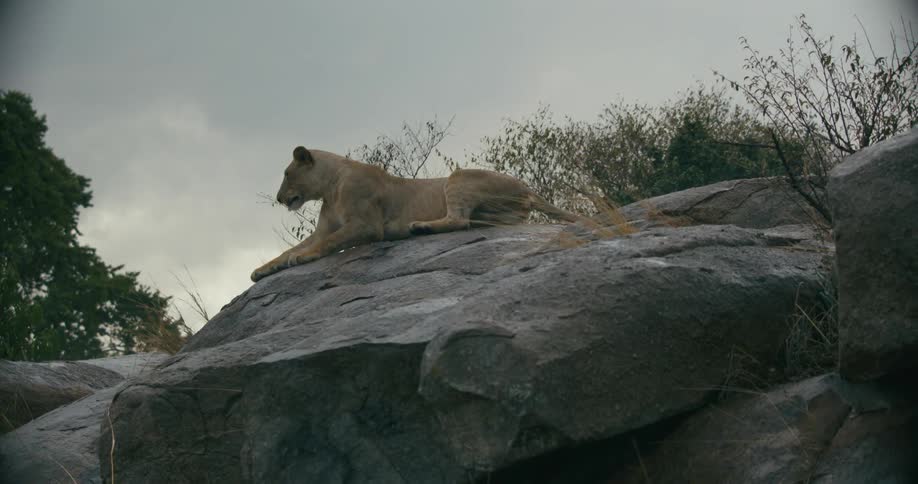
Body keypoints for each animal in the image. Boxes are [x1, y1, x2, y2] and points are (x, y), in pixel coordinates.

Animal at [251, 146, 585, 282]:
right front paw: (262, 270)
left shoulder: (367, 225)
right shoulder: (324, 227)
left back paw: (419, 227)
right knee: (473, 222)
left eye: (287, 173)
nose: (279, 198)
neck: (331, 187)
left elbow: (328, 243)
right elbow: (290, 250)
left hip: (458, 177)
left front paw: (303, 258)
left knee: (459, 219)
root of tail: (528, 188)